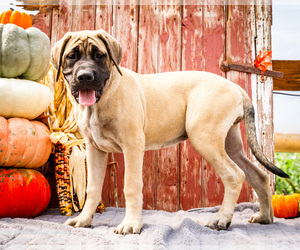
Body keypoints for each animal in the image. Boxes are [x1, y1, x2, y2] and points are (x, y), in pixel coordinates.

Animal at [51, 28, 288, 234]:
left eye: (99, 56)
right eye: (72, 56)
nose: (85, 77)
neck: (101, 101)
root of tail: (236, 87)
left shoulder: (132, 146)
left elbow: (131, 186)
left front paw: (131, 224)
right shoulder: (95, 150)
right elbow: (92, 188)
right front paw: (84, 220)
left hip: (204, 137)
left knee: (234, 175)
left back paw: (221, 219)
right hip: (230, 145)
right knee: (258, 175)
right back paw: (264, 217)